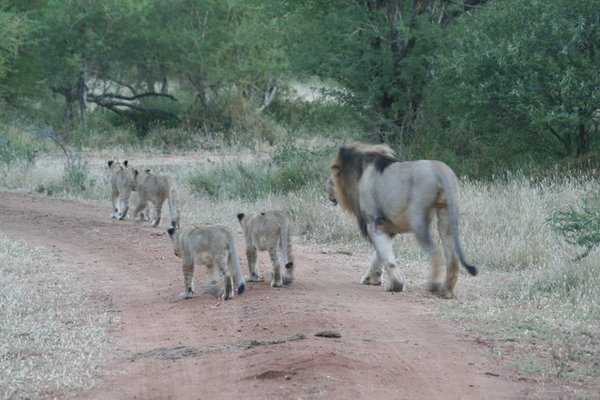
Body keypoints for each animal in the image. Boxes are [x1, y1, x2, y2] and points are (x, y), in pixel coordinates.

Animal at [326, 143, 476, 296]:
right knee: (452, 258)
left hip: (418, 219)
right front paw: (372, 279)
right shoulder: (386, 225)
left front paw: (395, 284)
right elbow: (380, 255)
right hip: (447, 215)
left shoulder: (374, 221)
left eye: (332, 175)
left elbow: (387, 257)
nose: (325, 188)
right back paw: (446, 291)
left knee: (436, 251)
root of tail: (440, 169)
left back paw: (434, 285)